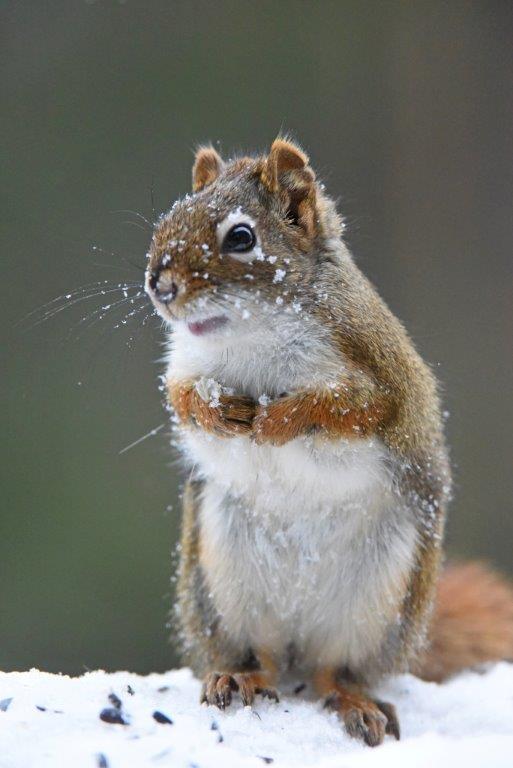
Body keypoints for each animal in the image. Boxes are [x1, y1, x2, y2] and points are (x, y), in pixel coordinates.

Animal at [145, 138, 513, 747]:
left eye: (241, 237)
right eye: (168, 219)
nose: (160, 286)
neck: (250, 333)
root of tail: (298, 644)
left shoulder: (378, 372)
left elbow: (347, 409)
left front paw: (278, 421)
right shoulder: (185, 364)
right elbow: (183, 400)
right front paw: (221, 412)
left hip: (377, 603)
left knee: (334, 672)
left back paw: (352, 699)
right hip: (223, 586)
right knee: (262, 656)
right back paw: (240, 677)